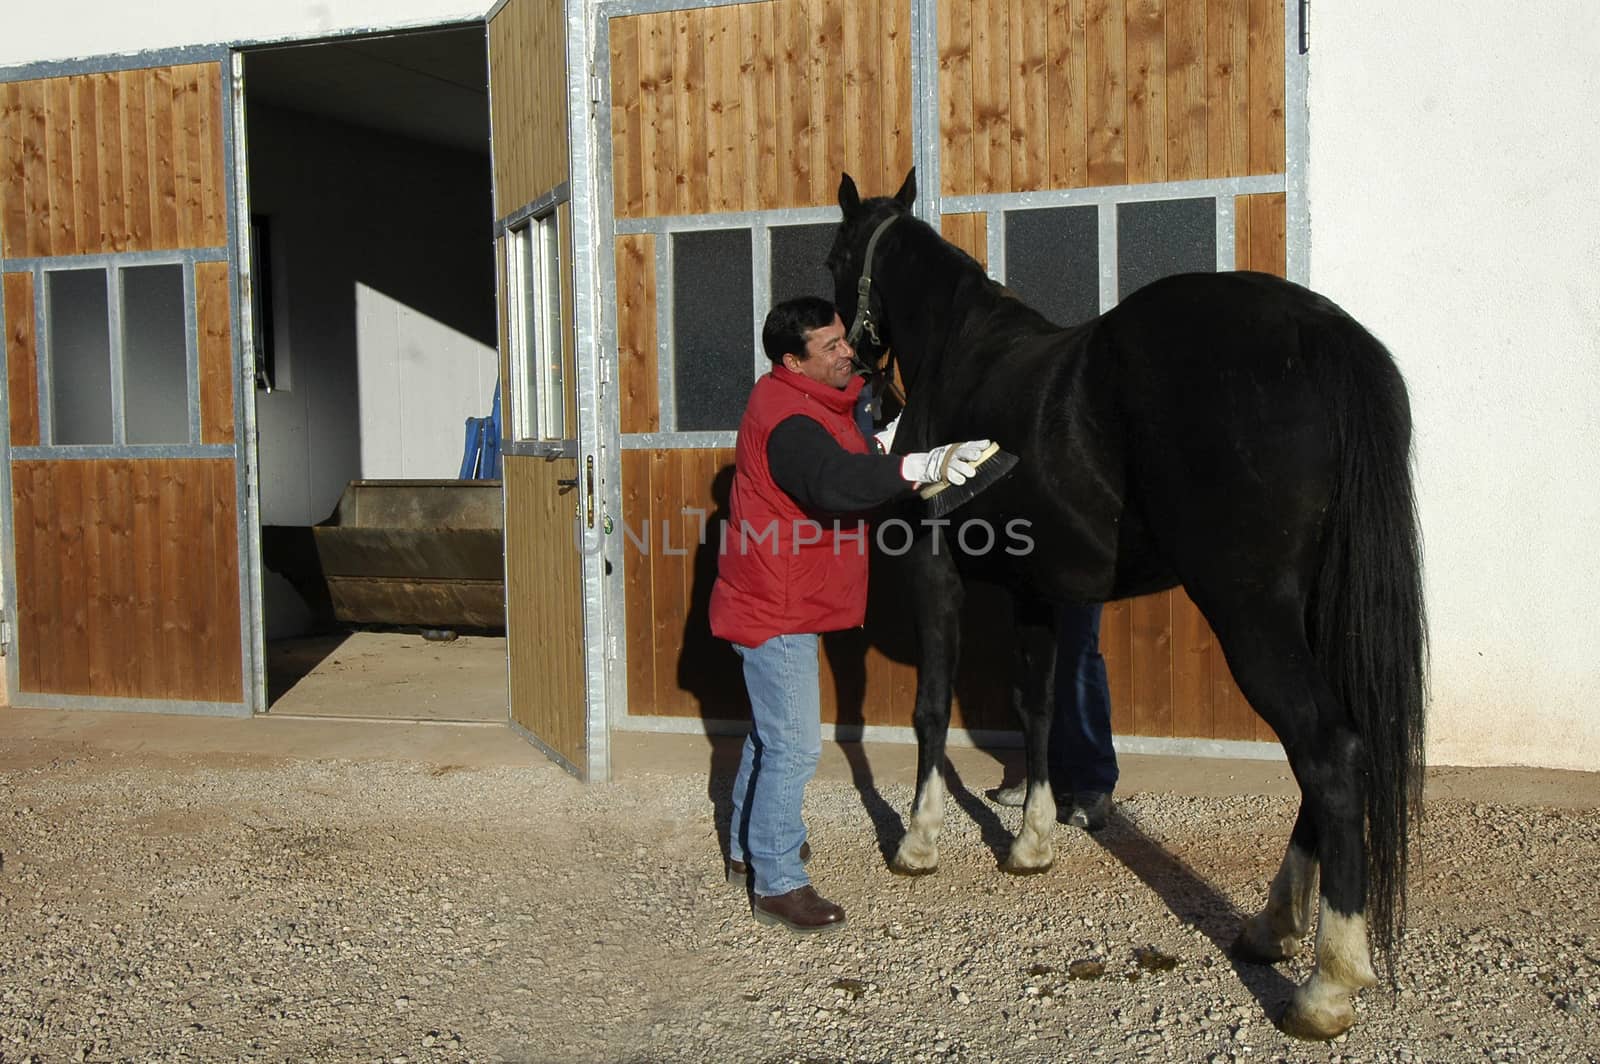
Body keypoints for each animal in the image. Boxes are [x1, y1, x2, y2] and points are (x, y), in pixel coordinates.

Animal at [825, 172, 1427, 1036]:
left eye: (836, 258)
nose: (854, 360)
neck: (962, 354)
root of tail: (1318, 333)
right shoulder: (1036, 593)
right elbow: (1039, 710)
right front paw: (1032, 844)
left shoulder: (935, 576)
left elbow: (932, 708)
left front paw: (919, 842)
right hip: (1312, 609)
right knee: (1331, 754)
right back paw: (1268, 927)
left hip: (1252, 611)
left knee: (1329, 751)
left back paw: (1326, 985)